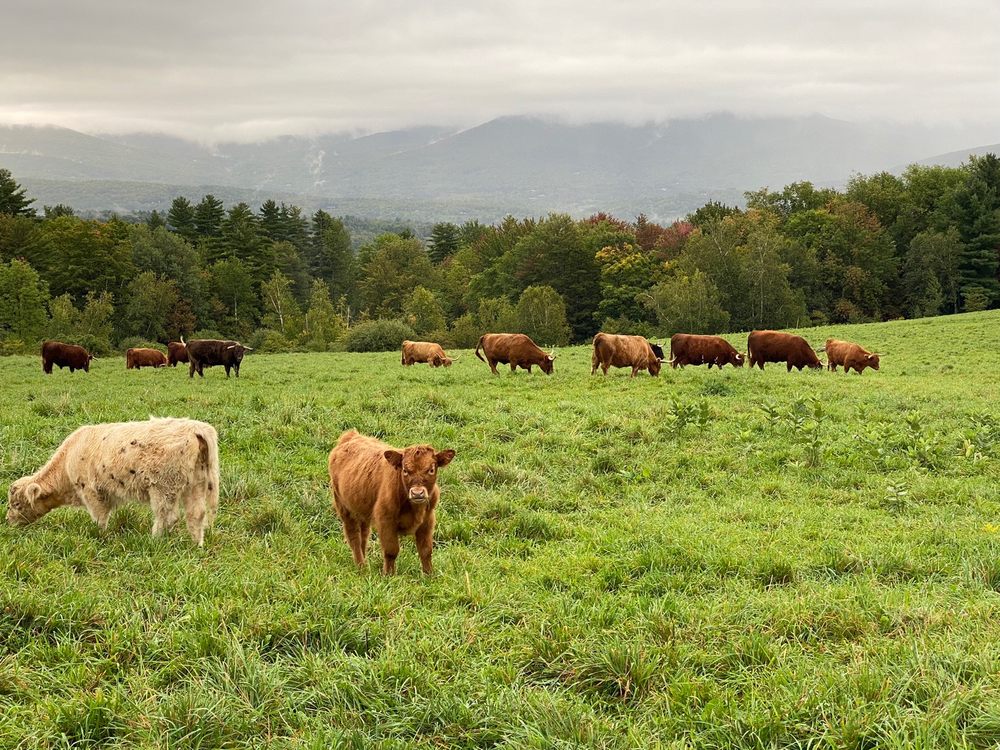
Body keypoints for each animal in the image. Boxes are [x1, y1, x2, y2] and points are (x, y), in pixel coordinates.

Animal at [6, 418, 219, 548]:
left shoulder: (92, 492)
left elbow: (100, 518)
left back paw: (154, 540)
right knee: (196, 514)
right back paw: (196, 545)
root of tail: (196, 429)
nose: (8, 521)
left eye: (16, 504)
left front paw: (100, 535)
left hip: (163, 487)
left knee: (167, 516)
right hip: (196, 484)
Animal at [326, 428, 456, 576]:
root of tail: (351, 435)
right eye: (405, 470)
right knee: (354, 537)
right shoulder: (386, 521)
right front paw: (389, 575)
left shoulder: (427, 521)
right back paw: (361, 567)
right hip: (344, 508)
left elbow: (426, 551)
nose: (417, 493)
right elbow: (391, 551)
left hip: (362, 510)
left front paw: (429, 575)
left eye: (431, 469)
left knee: (363, 536)